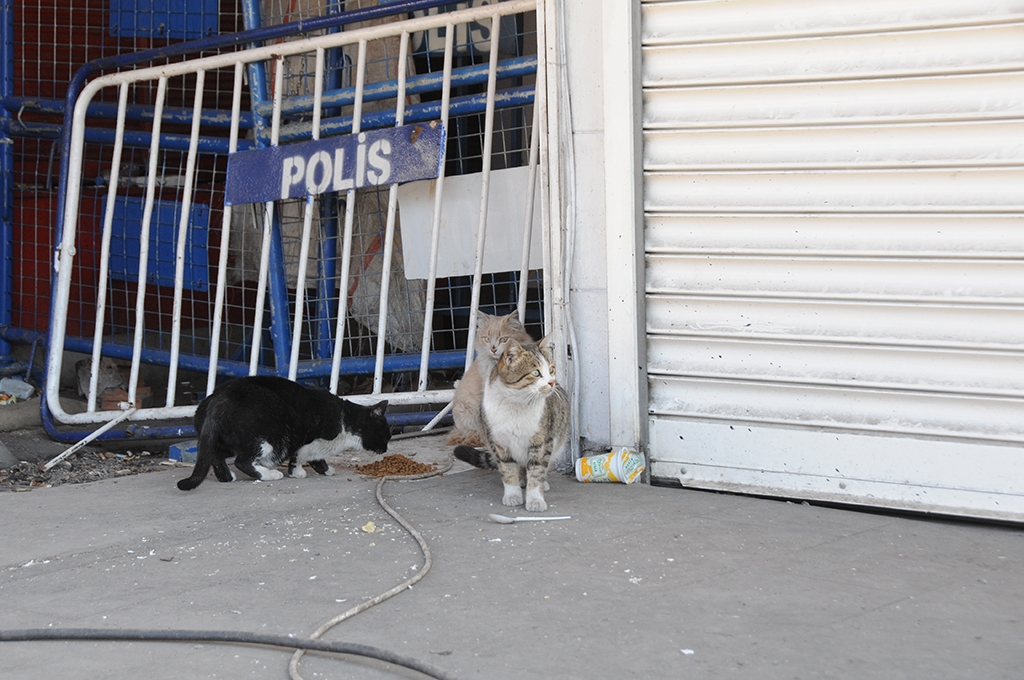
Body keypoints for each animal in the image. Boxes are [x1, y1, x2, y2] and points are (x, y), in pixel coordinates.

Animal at [176, 374, 387, 491]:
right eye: (385, 435)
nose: (385, 449)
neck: (344, 421)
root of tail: (217, 400)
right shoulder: (308, 438)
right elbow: (300, 455)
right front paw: (297, 472)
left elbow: (315, 457)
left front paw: (324, 469)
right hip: (267, 437)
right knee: (242, 461)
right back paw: (269, 474)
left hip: (226, 439)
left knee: (216, 454)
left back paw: (226, 477)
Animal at [454, 333, 569, 510]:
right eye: (535, 372)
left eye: (551, 370)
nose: (552, 382)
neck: (517, 404)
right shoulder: (499, 442)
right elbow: (508, 470)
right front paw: (512, 495)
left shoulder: (541, 441)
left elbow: (537, 469)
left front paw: (535, 499)